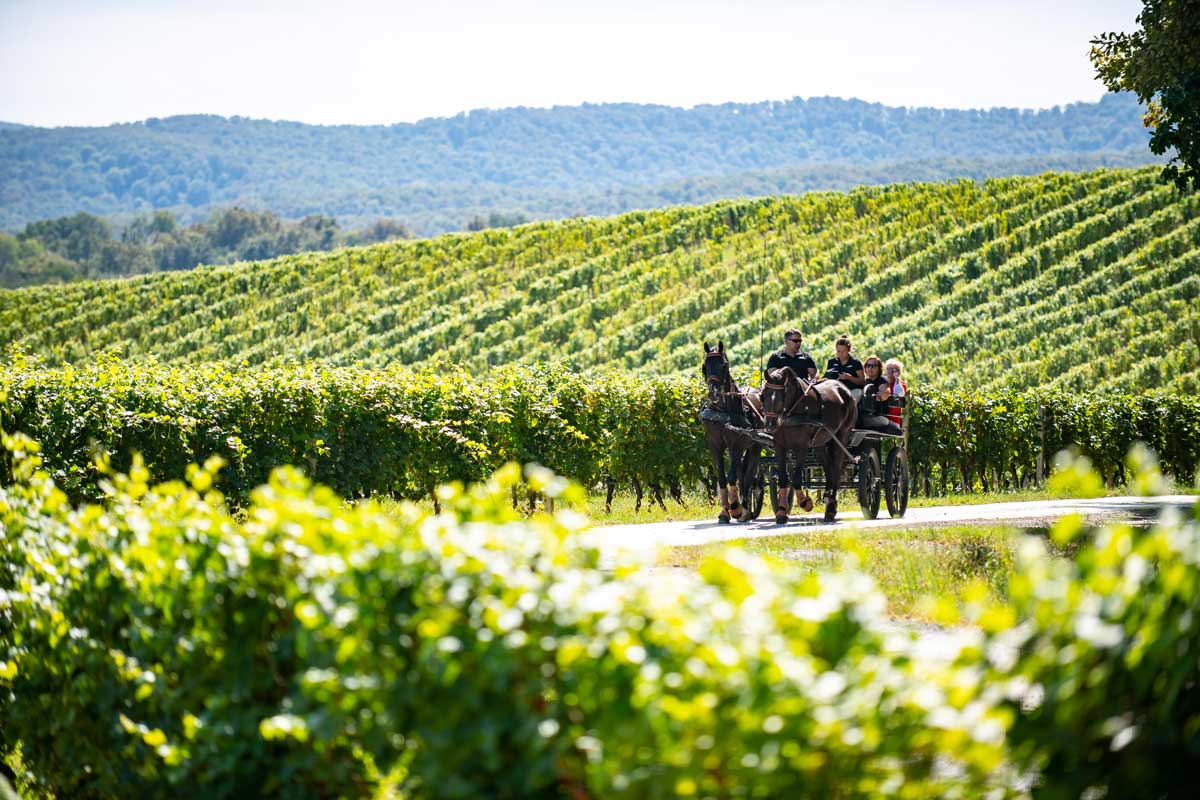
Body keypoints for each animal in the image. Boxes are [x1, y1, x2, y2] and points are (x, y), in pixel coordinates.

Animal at [700, 343, 763, 525]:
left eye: (723, 365)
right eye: (704, 367)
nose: (713, 393)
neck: (723, 411)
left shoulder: (737, 445)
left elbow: (731, 476)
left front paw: (735, 508)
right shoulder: (715, 445)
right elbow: (722, 478)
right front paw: (724, 512)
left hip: (755, 446)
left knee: (749, 476)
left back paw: (745, 510)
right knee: (743, 475)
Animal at [763, 369, 859, 525]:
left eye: (782, 396)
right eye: (763, 394)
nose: (770, 426)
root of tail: (845, 390)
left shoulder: (802, 446)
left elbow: (796, 478)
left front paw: (805, 502)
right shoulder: (779, 446)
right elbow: (783, 478)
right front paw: (782, 511)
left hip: (841, 437)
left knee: (836, 469)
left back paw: (830, 509)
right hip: (820, 443)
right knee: (828, 468)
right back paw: (828, 499)